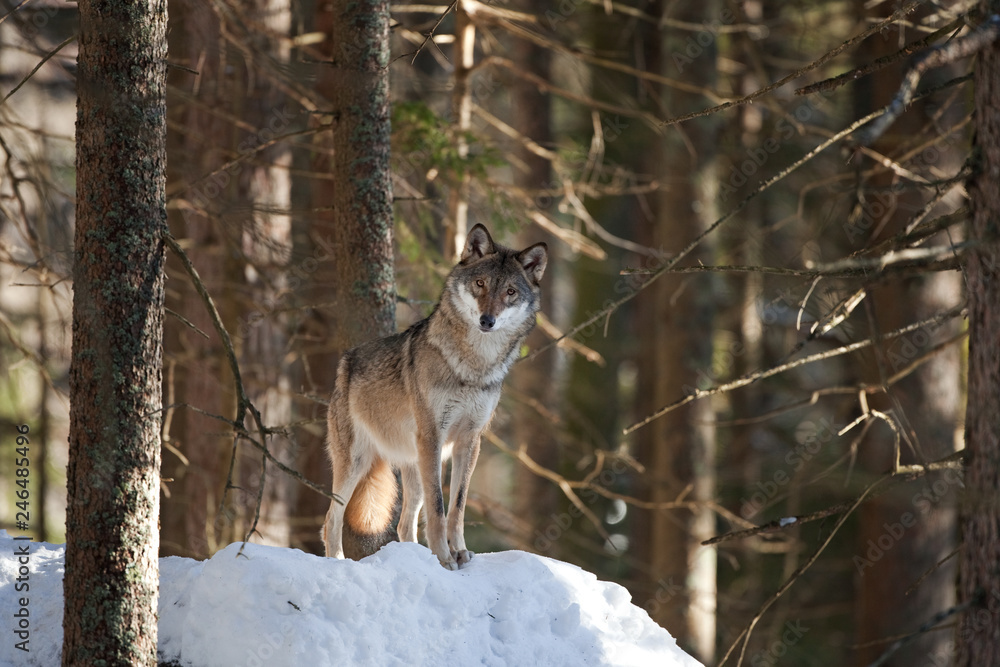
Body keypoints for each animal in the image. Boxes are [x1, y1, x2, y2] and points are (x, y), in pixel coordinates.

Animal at [321, 224, 547, 570]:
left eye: (510, 292)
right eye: (480, 284)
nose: (487, 320)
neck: (473, 366)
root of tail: (346, 361)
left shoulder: (470, 440)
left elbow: (457, 506)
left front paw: (460, 552)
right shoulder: (434, 435)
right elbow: (439, 508)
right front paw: (444, 558)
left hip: (413, 467)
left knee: (404, 524)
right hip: (356, 463)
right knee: (331, 520)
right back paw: (337, 561)